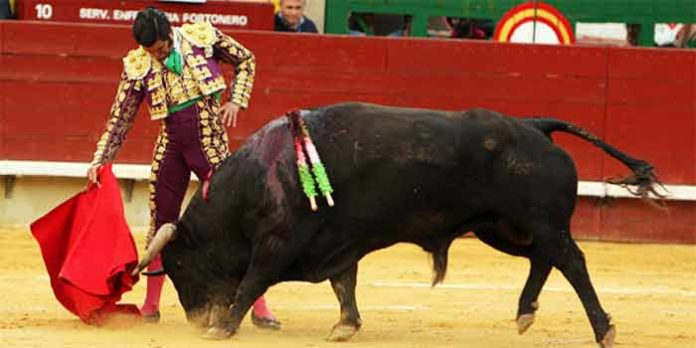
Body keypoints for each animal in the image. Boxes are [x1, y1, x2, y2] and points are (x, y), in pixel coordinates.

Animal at [139, 102, 660, 346]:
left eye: (178, 265)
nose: (196, 318)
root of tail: (535, 125)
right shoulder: (337, 241)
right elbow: (344, 284)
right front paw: (345, 326)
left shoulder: (277, 242)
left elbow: (251, 282)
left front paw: (224, 327)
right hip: (500, 228)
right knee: (543, 260)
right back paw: (525, 312)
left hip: (540, 223)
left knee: (572, 261)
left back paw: (602, 329)